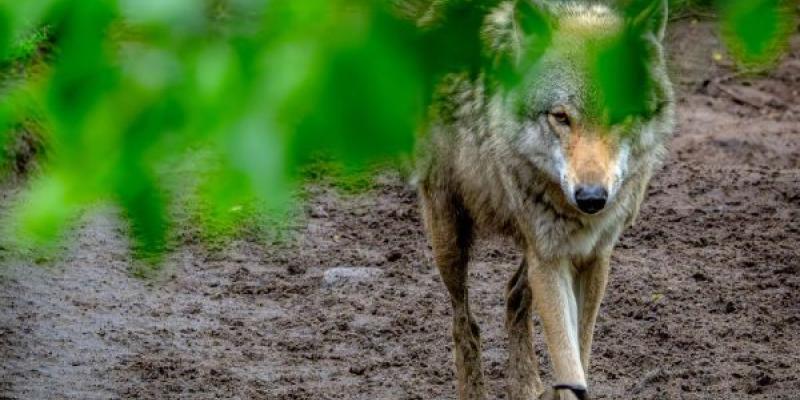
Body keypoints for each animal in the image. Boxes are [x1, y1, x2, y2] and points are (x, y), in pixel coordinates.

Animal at [415, 0, 674, 399]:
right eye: (561, 117)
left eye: (619, 112)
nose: (591, 198)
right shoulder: (551, 261)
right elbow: (568, 361)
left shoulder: (593, 257)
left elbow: (580, 352)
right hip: (450, 236)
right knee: (464, 322)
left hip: (532, 245)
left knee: (514, 297)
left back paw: (526, 385)